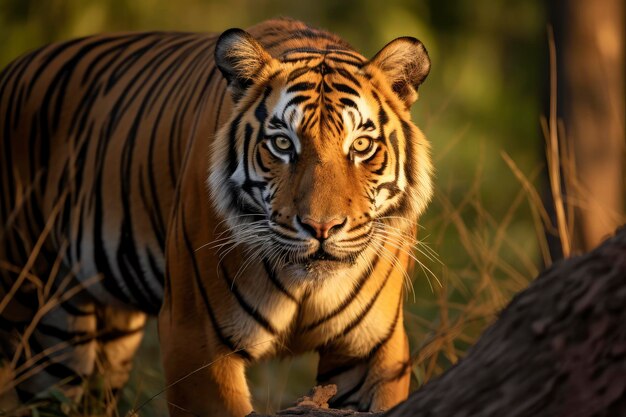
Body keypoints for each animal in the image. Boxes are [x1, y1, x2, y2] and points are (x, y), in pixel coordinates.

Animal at [0, 17, 428, 416]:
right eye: (282, 143)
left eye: (361, 145)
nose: (322, 228)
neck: (308, 286)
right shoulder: (195, 338)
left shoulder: (376, 348)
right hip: (42, 321)